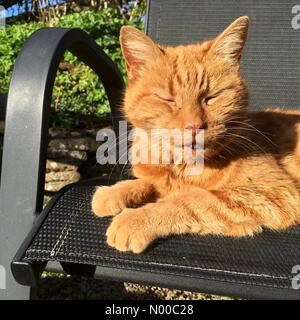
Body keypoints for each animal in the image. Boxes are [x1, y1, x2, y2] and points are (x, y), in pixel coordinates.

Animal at [91, 16, 300, 252]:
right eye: (169, 100)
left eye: (211, 97)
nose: (194, 126)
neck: (180, 167)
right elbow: (149, 182)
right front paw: (114, 192)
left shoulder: (272, 195)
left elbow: (189, 199)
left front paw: (136, 219)